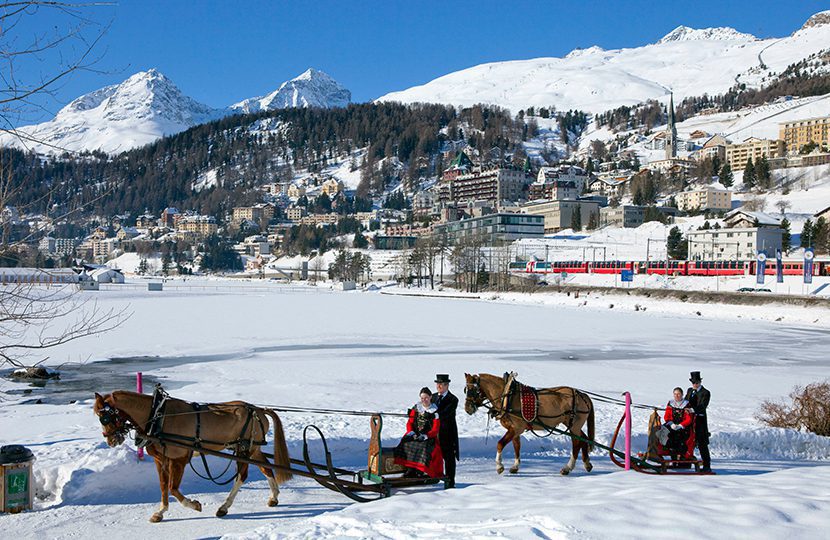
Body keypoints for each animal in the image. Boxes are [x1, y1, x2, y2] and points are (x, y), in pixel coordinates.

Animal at [94, 392, 292, 524]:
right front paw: (160, 512)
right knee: (266, 468)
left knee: (242, 476)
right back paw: (274, 497)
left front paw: (195, 505)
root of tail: (259, 410)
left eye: (104, 417)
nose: (111, 440)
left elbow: (173, 488)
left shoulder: (179, 460)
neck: (158, 416)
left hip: (245, 450)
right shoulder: (161, 460)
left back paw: (224, 507)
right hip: (253, 449)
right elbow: (164, 486)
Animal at [464, 374, 596, 474]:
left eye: (474, 390)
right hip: (573, 425)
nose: (467, 408)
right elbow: (517, 446)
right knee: (584, 438)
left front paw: (499, 466)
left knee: (576, 443)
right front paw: (515, 466)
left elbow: (500, 444)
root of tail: (582, 395)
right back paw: (587, 464)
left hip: (573, 425)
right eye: (465, 390)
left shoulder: (517, 428)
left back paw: (568, 468)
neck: (507, 396)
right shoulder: (514, 430)